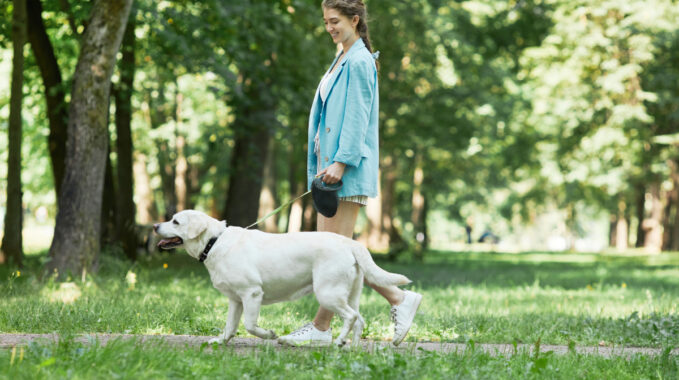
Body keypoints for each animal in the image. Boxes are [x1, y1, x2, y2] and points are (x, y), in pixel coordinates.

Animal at [154, 209, 410, 346]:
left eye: (175, 221)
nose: (155, 225)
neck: (214, 241)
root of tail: (350, 242)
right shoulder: (235, 300)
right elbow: (230, 326)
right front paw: (221, 342)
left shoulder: (252, 293)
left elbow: (249, 325)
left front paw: (269, 334)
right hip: (350, 292)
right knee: (360, 319)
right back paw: (352, 347)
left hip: (328, 293)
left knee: (351, 316)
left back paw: (339, 341)